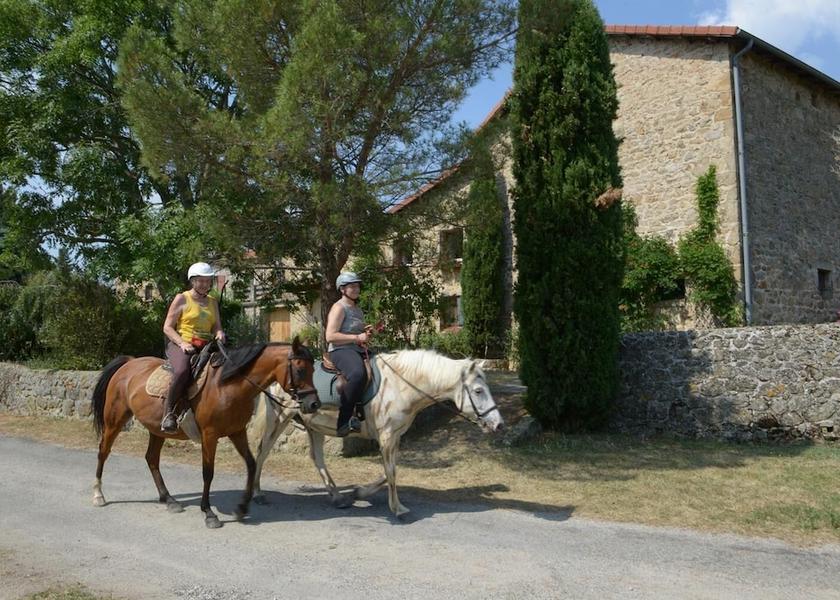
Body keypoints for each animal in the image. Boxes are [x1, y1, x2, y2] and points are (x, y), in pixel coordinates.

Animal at [91, 338, 318, 528]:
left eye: (313, 369)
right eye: (300, 369)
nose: (313, 404)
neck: (227, 385)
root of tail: (128, 364)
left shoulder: (237, 432)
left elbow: (252, 464)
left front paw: (241, 508)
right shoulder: (210, 435)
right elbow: (208, 473)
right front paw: (209, 513)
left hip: (157, 429)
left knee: (151, 459)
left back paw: (169, 499)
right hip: (114, 420)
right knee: (103, 451)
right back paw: (98, 495)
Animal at [250, 348, 504, 518]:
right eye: (478, 391)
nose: (498, 424)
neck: (401, 385)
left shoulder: (394, 436)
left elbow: (389, 470)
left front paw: (360, 492)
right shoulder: (387, 436)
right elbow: (391, 472)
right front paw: (398, 508)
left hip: (314, 426)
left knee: (317, 458)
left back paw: (337, 496)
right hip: (279, 418)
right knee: (262, 452)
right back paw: (257, 494)